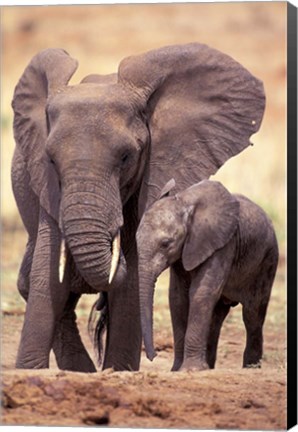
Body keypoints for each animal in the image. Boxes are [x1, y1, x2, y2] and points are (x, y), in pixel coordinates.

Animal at [10, 43, 264, 372]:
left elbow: (129, 285)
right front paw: (28, 369)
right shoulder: (48, 189)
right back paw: (81, 370)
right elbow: (48, 274)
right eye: (50, 159)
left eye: (126, 157)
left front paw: (118, 370)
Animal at [137, 179, 280, 372]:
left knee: (252, 314)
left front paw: (190, 370)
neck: (185, 202)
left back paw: (250, 368)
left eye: (166, 243)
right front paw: (177, 370)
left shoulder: (224, 244)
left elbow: (201, 293)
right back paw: (209, 367)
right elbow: (178, 298)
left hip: (267, 261)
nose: (153, 356)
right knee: (216, 318)